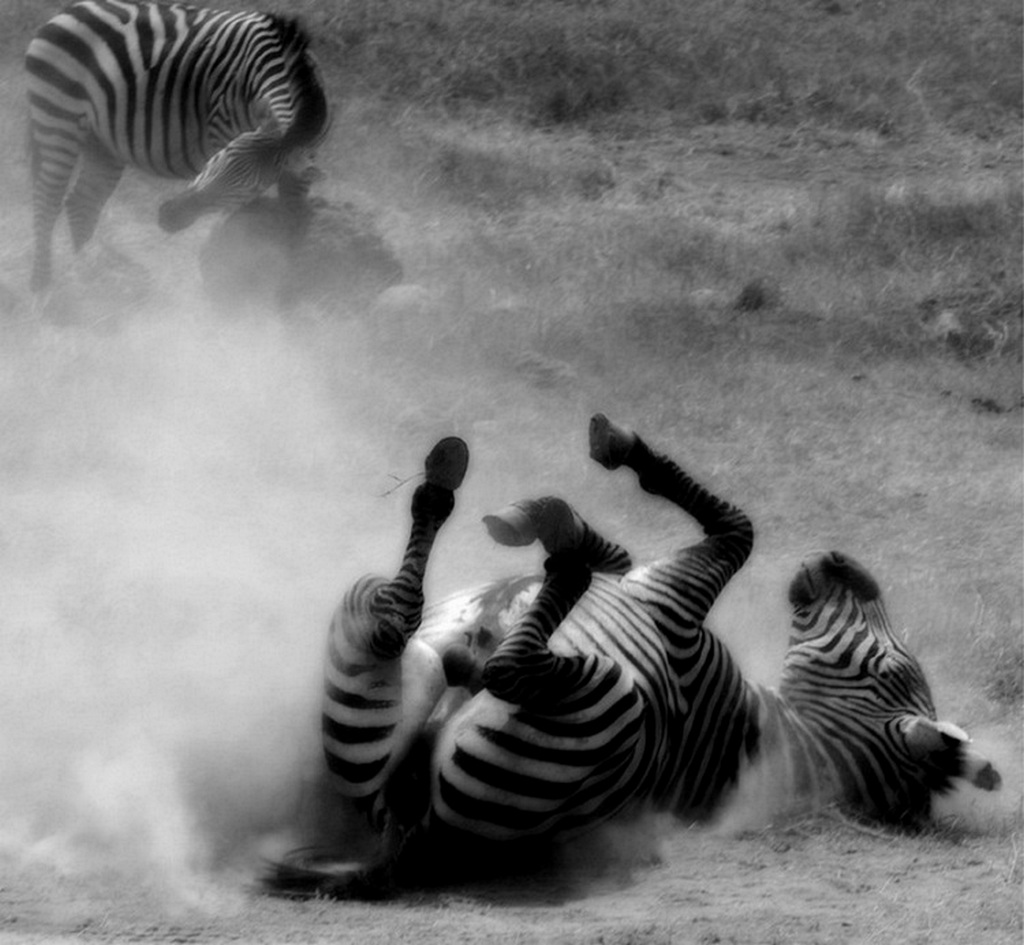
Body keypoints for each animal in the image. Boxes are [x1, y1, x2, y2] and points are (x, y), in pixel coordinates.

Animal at [25, 0, 330, 291]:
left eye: (254, 186)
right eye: (216, 158)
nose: (168, 216)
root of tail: (71, 10)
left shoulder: (303, 164)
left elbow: (294, 217)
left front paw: (288, 280)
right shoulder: (222, 129)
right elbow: (235, 227)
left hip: (101, 143)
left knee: (82, 204)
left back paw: (87, 281)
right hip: (57, 117)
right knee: (46, 201)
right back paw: (43, 288)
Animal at [264, 414, 1001, 898]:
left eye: (891, 670)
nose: (839, 559)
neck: (770, 735)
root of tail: (413, 842)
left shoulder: (679, 597)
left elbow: (737, 526)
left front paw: (608, 464)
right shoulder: (651, 581)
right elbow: (630, 546)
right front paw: (577, 523)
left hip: (606, 697)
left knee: (490, 657)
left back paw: (533, 543)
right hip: (375, 669)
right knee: (394, 620)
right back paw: (476, 502)